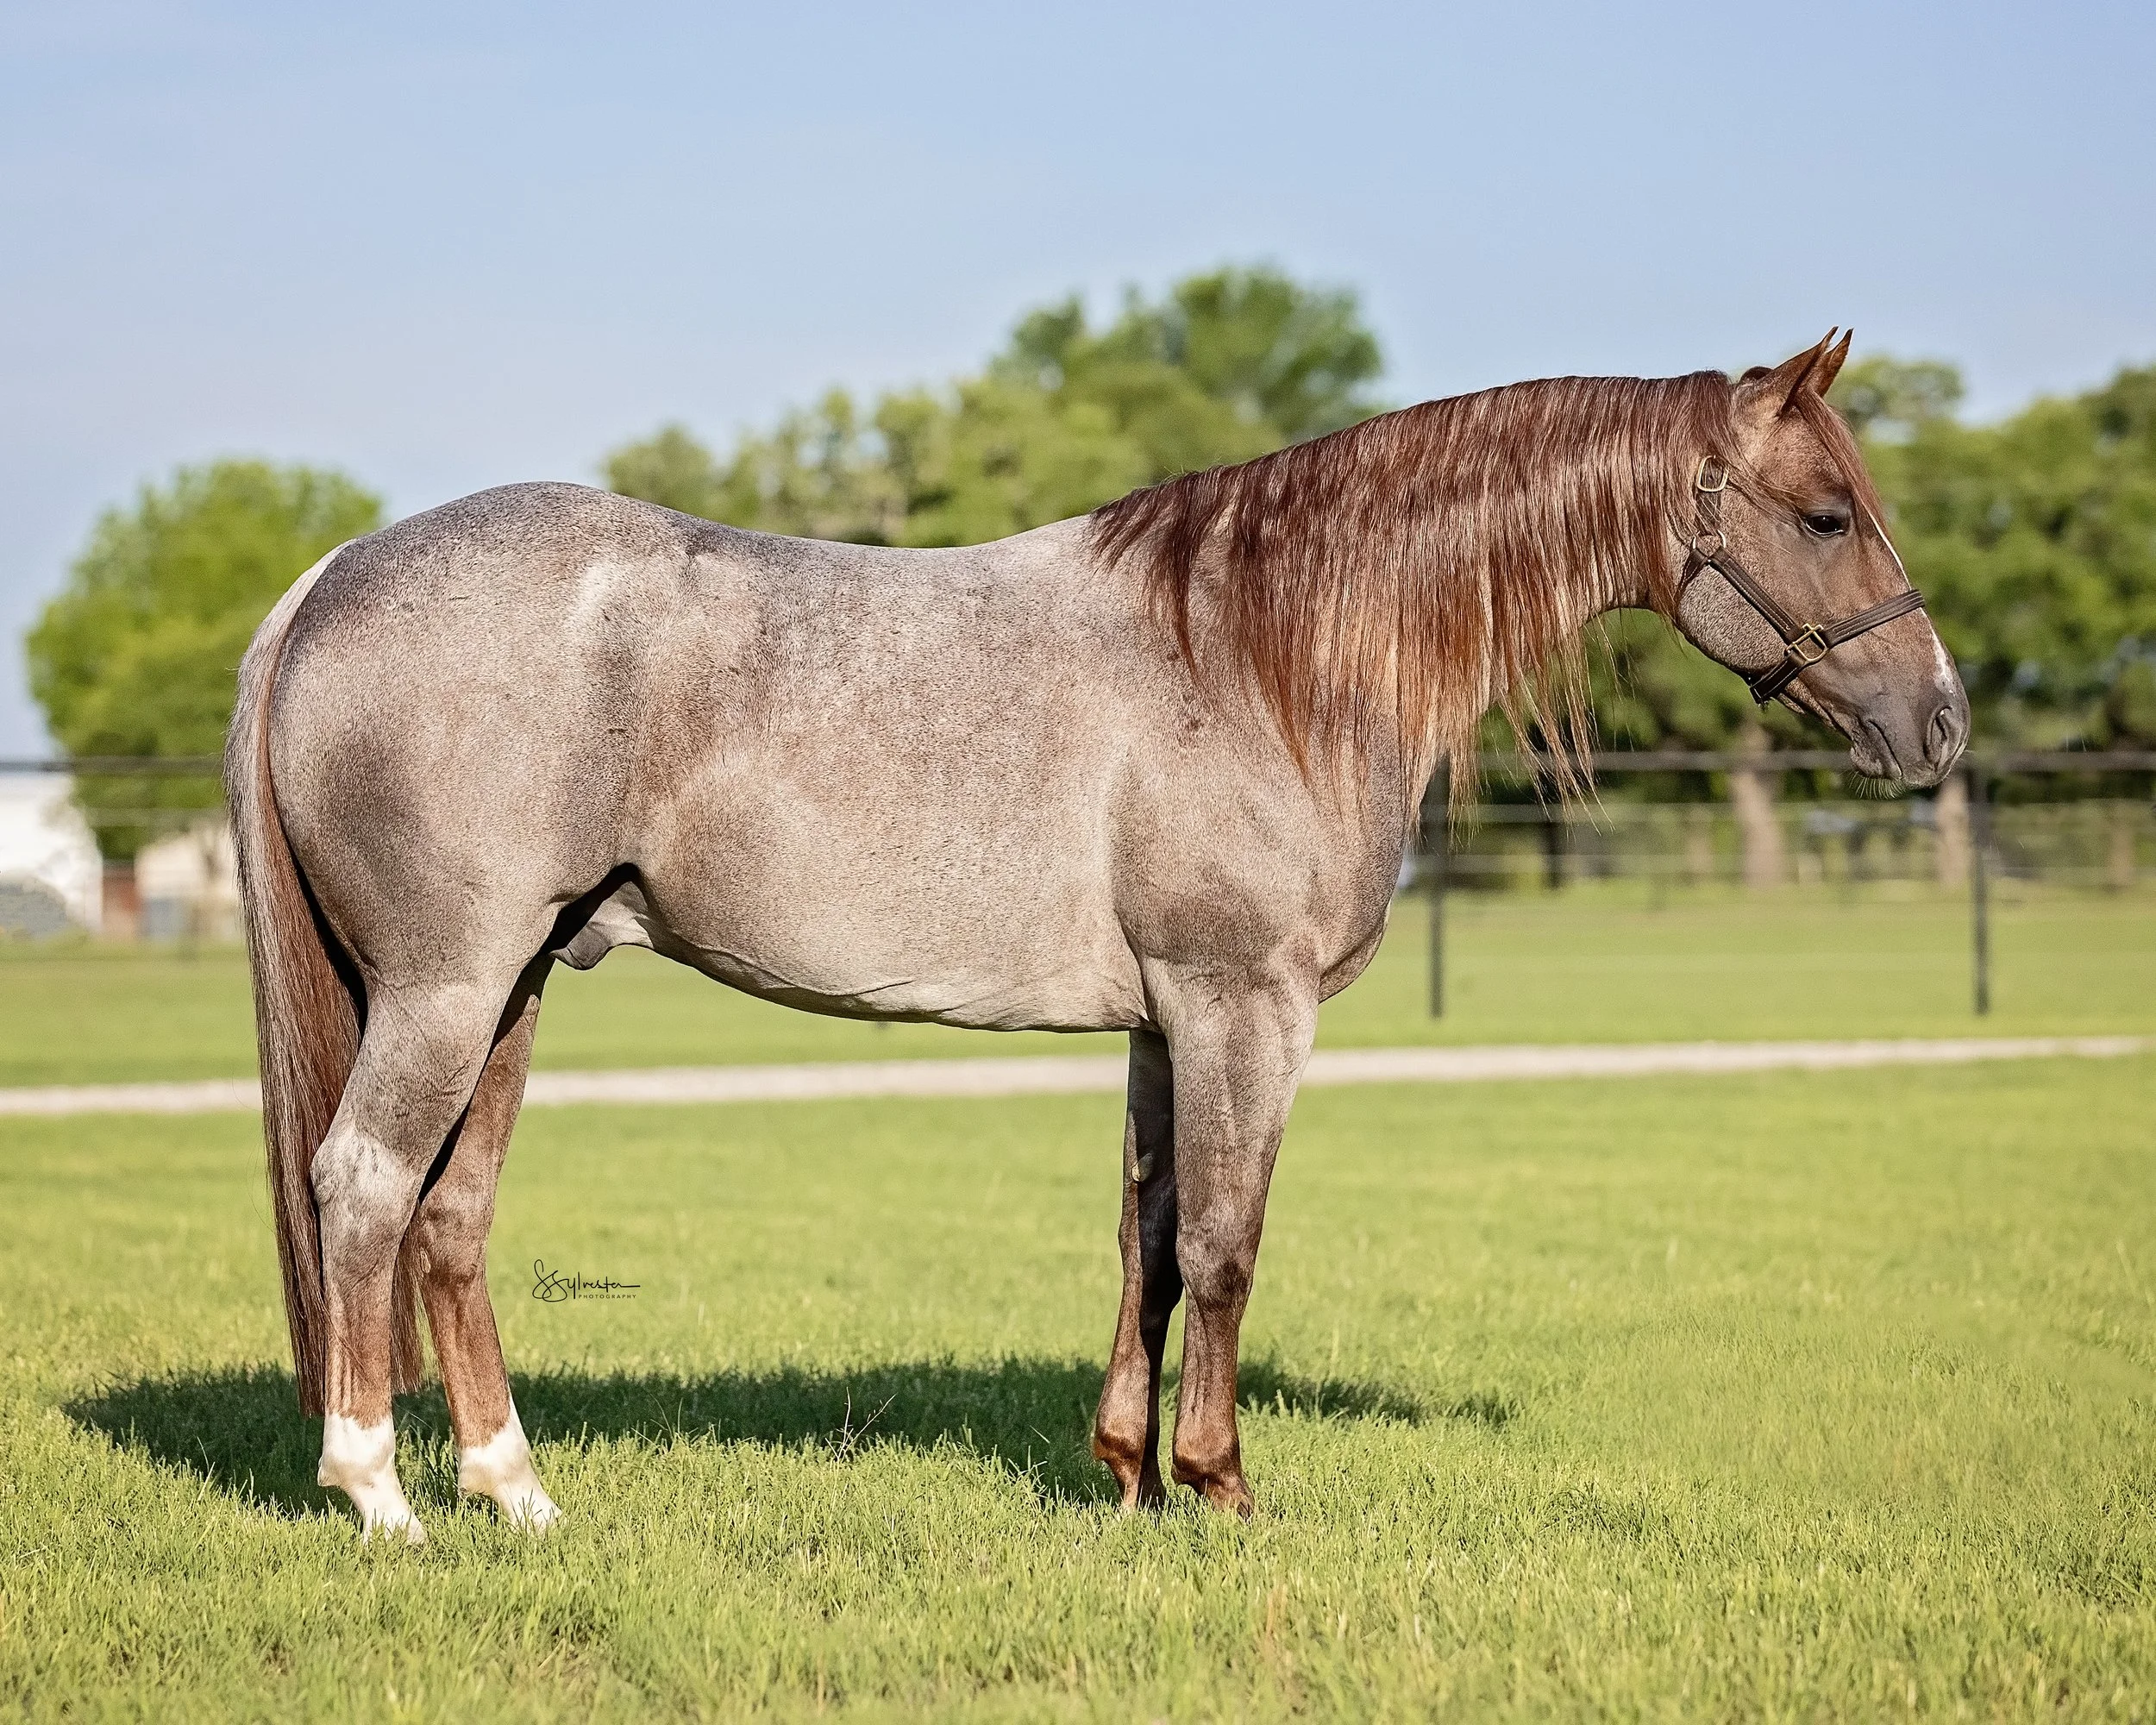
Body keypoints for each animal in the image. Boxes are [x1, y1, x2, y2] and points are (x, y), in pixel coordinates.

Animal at [226, 331, 1968, 1541]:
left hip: (515, 990)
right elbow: (1226, 1244)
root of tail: (328, 579)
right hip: (449, 990)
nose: (1940, 722)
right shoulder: (1243, 1004)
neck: (1265, 656)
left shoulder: (1158, 1022)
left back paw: (516, 1493)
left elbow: (1146, 1241)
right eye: (1827, 514)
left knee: (451, 1220)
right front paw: (1221, 1487)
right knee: (364, 1188)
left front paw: (1126, 1477)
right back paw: (378, 1496)